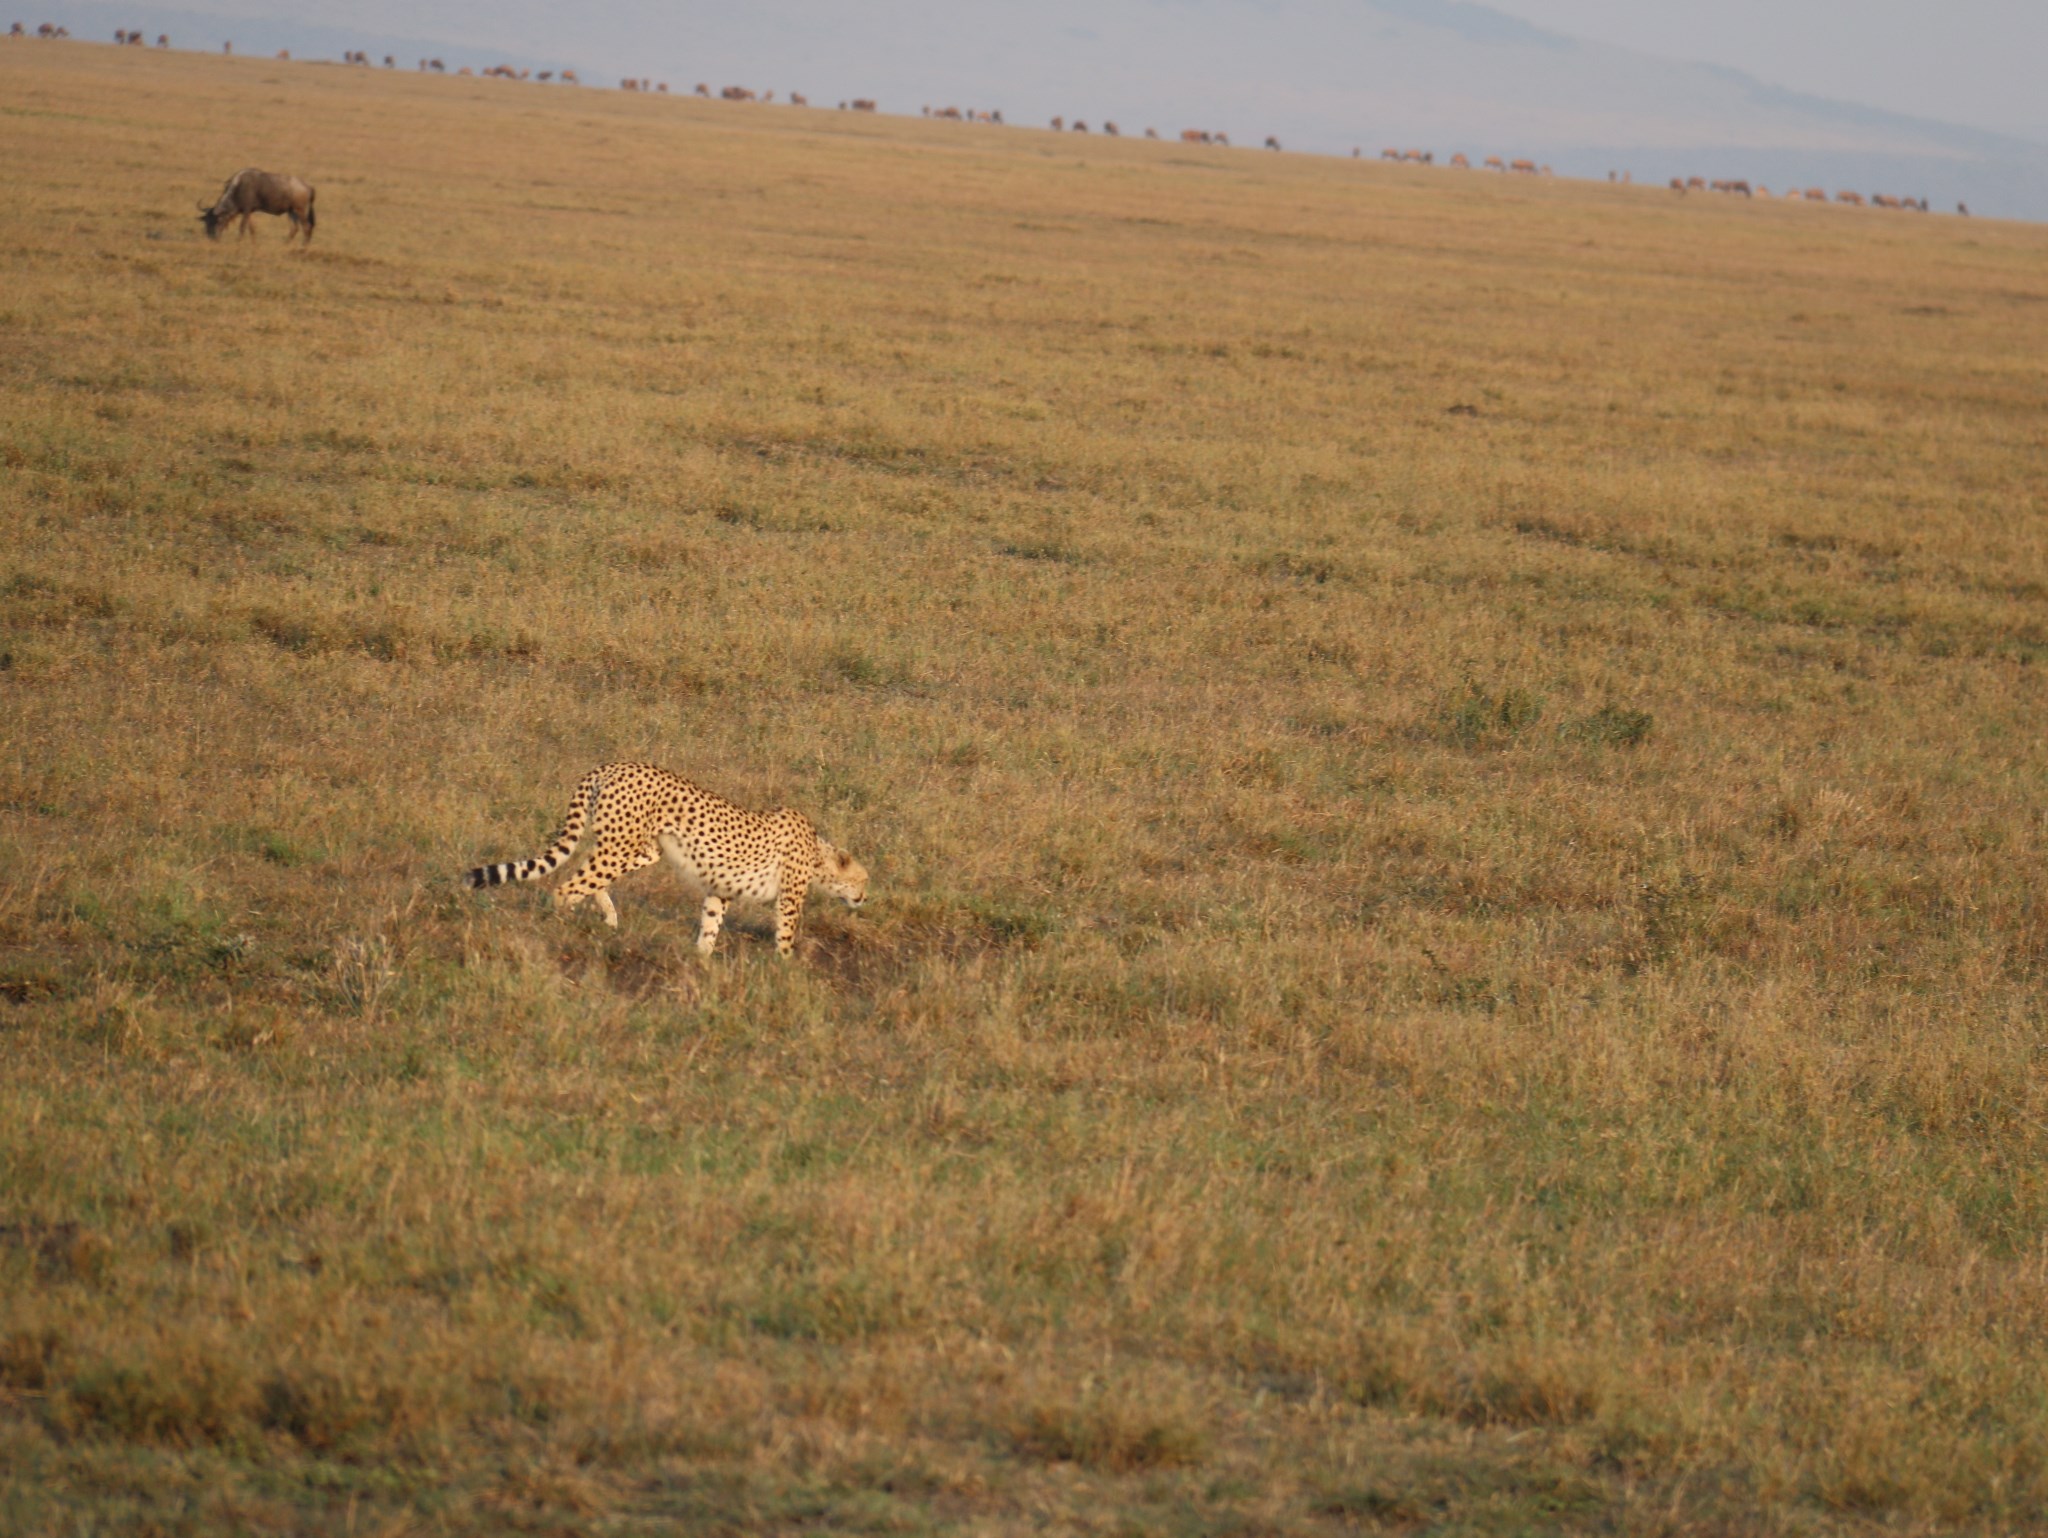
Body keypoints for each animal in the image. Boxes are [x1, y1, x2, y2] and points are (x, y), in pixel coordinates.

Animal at [464, 765, 864, 958]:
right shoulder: (790, 898)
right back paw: (564, 925)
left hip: (637, 848)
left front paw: (701, 959)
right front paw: (785, 968)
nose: (864, 898)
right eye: (862, 882)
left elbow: (711, 922)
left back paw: (608, 916)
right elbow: (785, 933)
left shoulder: (720, 888)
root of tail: (612, 765)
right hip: (621, 846)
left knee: (590, 876)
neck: (819, 852)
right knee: (567, 886)